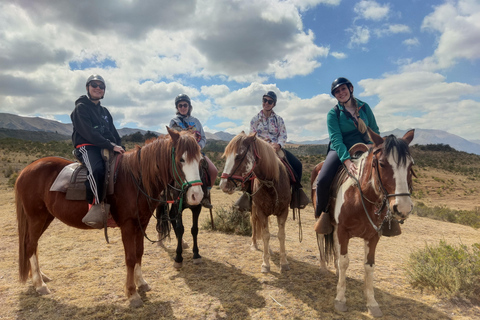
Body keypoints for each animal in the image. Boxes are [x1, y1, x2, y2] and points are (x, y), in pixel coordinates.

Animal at [15, 127, 203, 308]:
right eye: (181, 159)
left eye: (200, 159)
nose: (197, 195)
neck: (136, 178)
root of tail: (25, 170)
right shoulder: (128, 226)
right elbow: (130, 257)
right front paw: (132, 293)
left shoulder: (141, 223)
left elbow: (139, 253)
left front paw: (141, 283)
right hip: (36, 217)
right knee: (30, 244)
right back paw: (39, 284)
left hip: (46, 217)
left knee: (34, 245)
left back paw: (41, 277)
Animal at [219, 132, 290, 272]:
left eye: (239, 156)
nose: (223, 185)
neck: (272, 183)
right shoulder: (261, 211)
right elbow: (265, 235)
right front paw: (265, 264)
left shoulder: (284, 212)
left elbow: (281, 235)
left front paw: (284, 262)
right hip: (254, 208)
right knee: (254, 222)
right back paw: (254, 244)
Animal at [310, 128, 414, 318]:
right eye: (382, 164)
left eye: (410, 165)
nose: (403, 208)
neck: (361, 197)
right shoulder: (343, 231)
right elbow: (345, 262)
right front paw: (340, 299)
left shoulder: (373, 236)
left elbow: (369, 266)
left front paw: (372, 303)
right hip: (321, 218)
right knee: (321, 238)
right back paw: (323, 267)